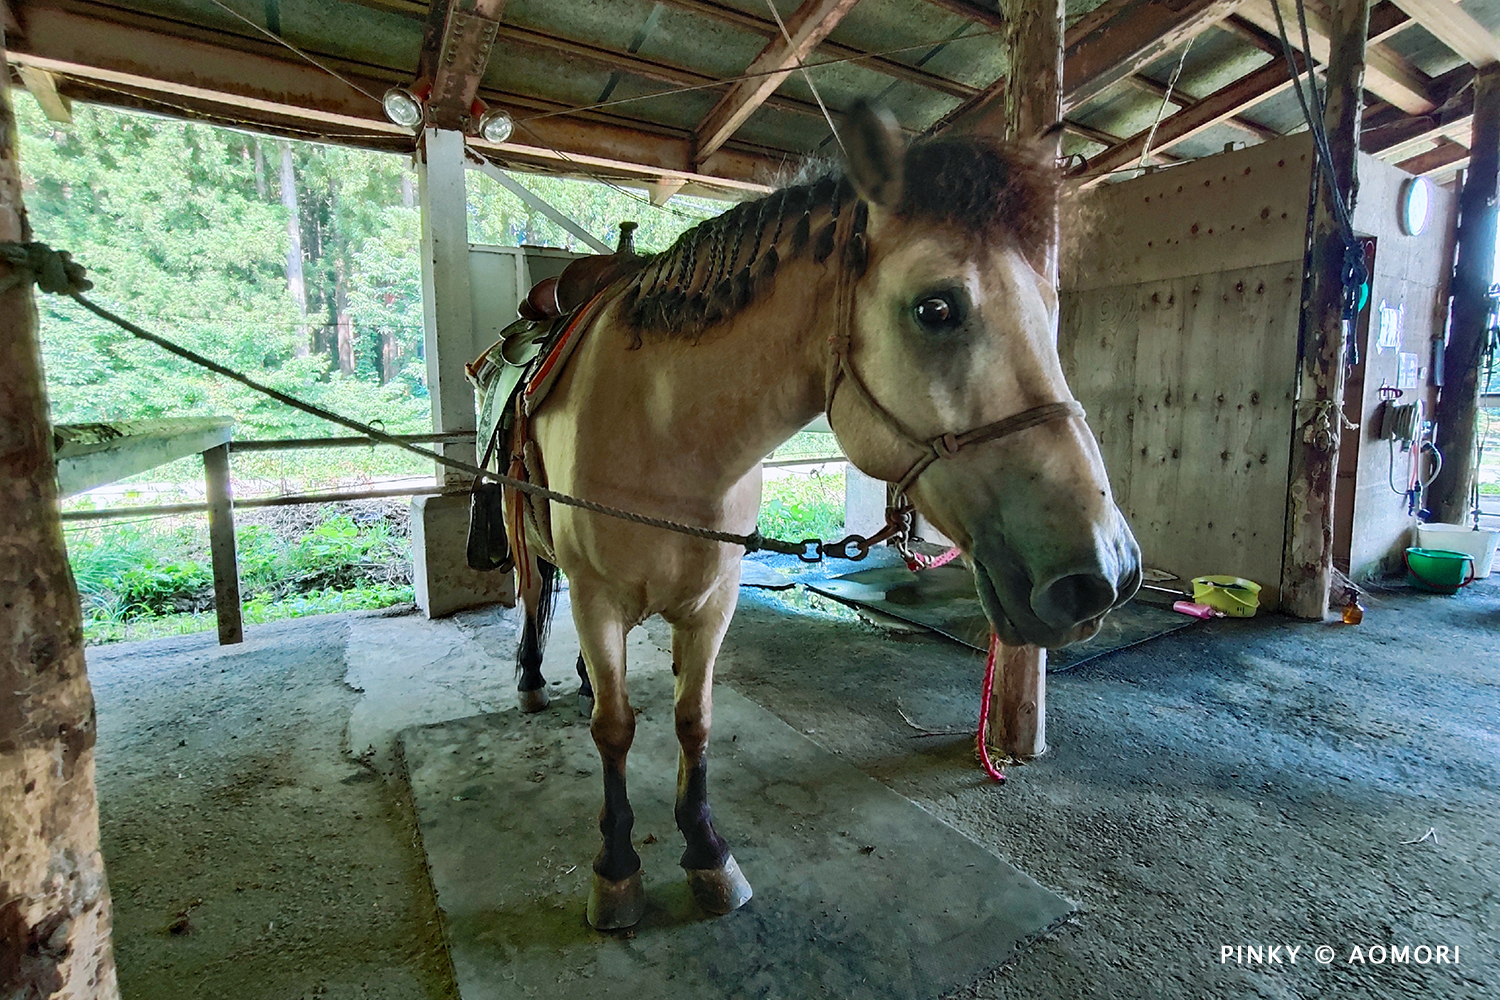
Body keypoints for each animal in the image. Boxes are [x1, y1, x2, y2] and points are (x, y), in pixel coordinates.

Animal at [489, 103, 1134, 929]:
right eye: (936, 308)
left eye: (1050, 307)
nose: (1106, 573)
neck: (664, 432)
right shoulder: (602, 601)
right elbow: (615, 727)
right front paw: (616, 868)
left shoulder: (713, 602)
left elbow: (692, 719)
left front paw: (706, 853)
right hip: (526, 539)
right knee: (535, 598)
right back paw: (534, 679)